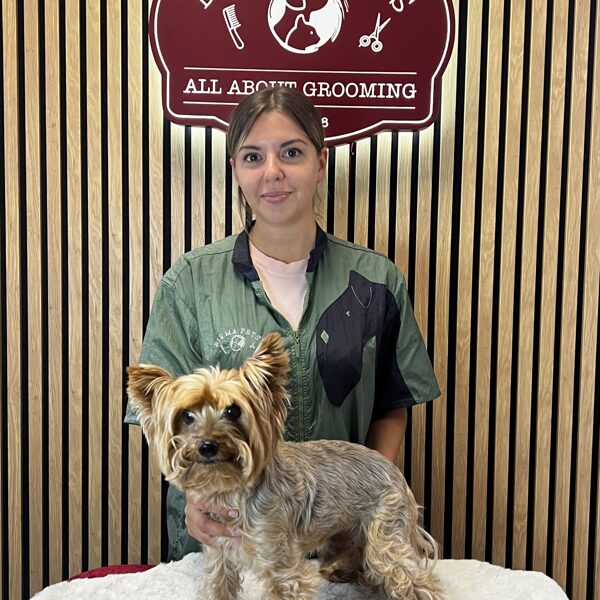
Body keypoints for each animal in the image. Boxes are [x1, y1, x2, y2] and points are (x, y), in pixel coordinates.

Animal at [127, 332, 442, 600]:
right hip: (345, 532)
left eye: (233, 410)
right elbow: (219, 585)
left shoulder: (279, 561)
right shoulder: (220, 552)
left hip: (386, 529)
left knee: (404, 572)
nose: (206, 446)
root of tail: (391, 468)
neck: (231, 490)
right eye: (187, 416)